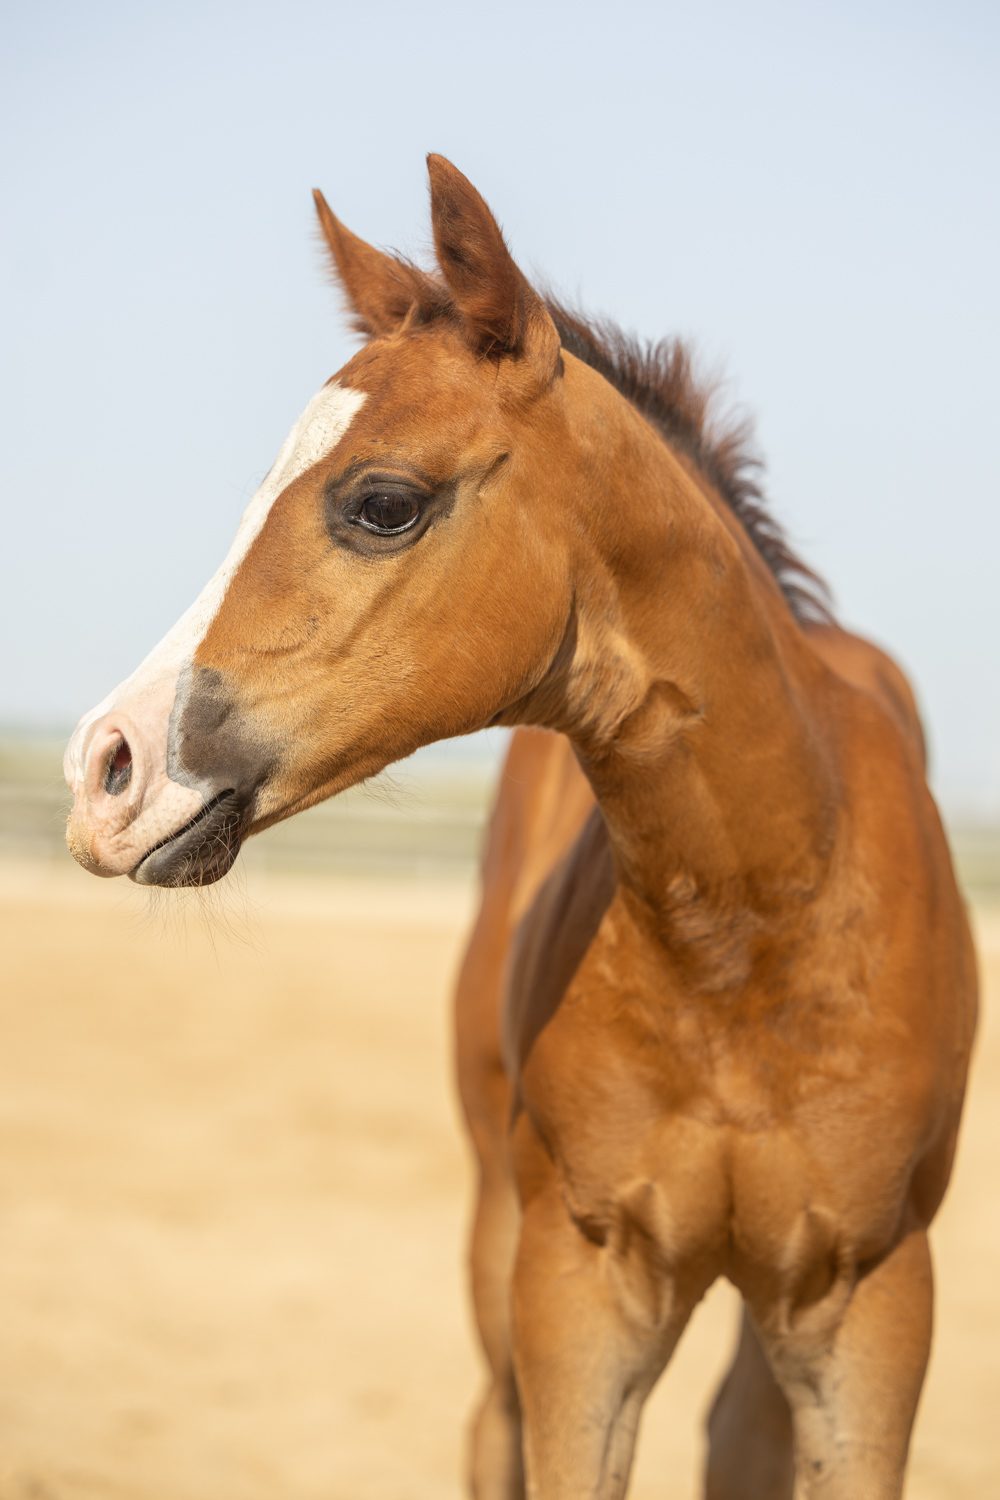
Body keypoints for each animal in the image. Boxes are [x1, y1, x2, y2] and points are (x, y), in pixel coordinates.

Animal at [64, 155, 977, 1499]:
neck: (757, 927)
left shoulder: (870, 1298)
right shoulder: (577, 1280)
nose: (104, 770)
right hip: (500, 1228)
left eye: (383, 502)